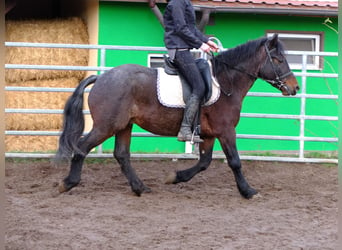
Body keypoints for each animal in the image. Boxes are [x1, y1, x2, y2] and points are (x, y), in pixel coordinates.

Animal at [56, 34, 300, 199]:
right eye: (278, 59)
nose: (295, 87)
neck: (226, 81)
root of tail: (101, 78)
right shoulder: (226, 131)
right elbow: (235, 161)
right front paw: (248, 191)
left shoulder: (209, 134)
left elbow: (204, 162)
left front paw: (175, 177)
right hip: (106, 126)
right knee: (82, 147)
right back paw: (67, 183)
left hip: (124, 125)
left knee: (122, 155)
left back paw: (140, 187)